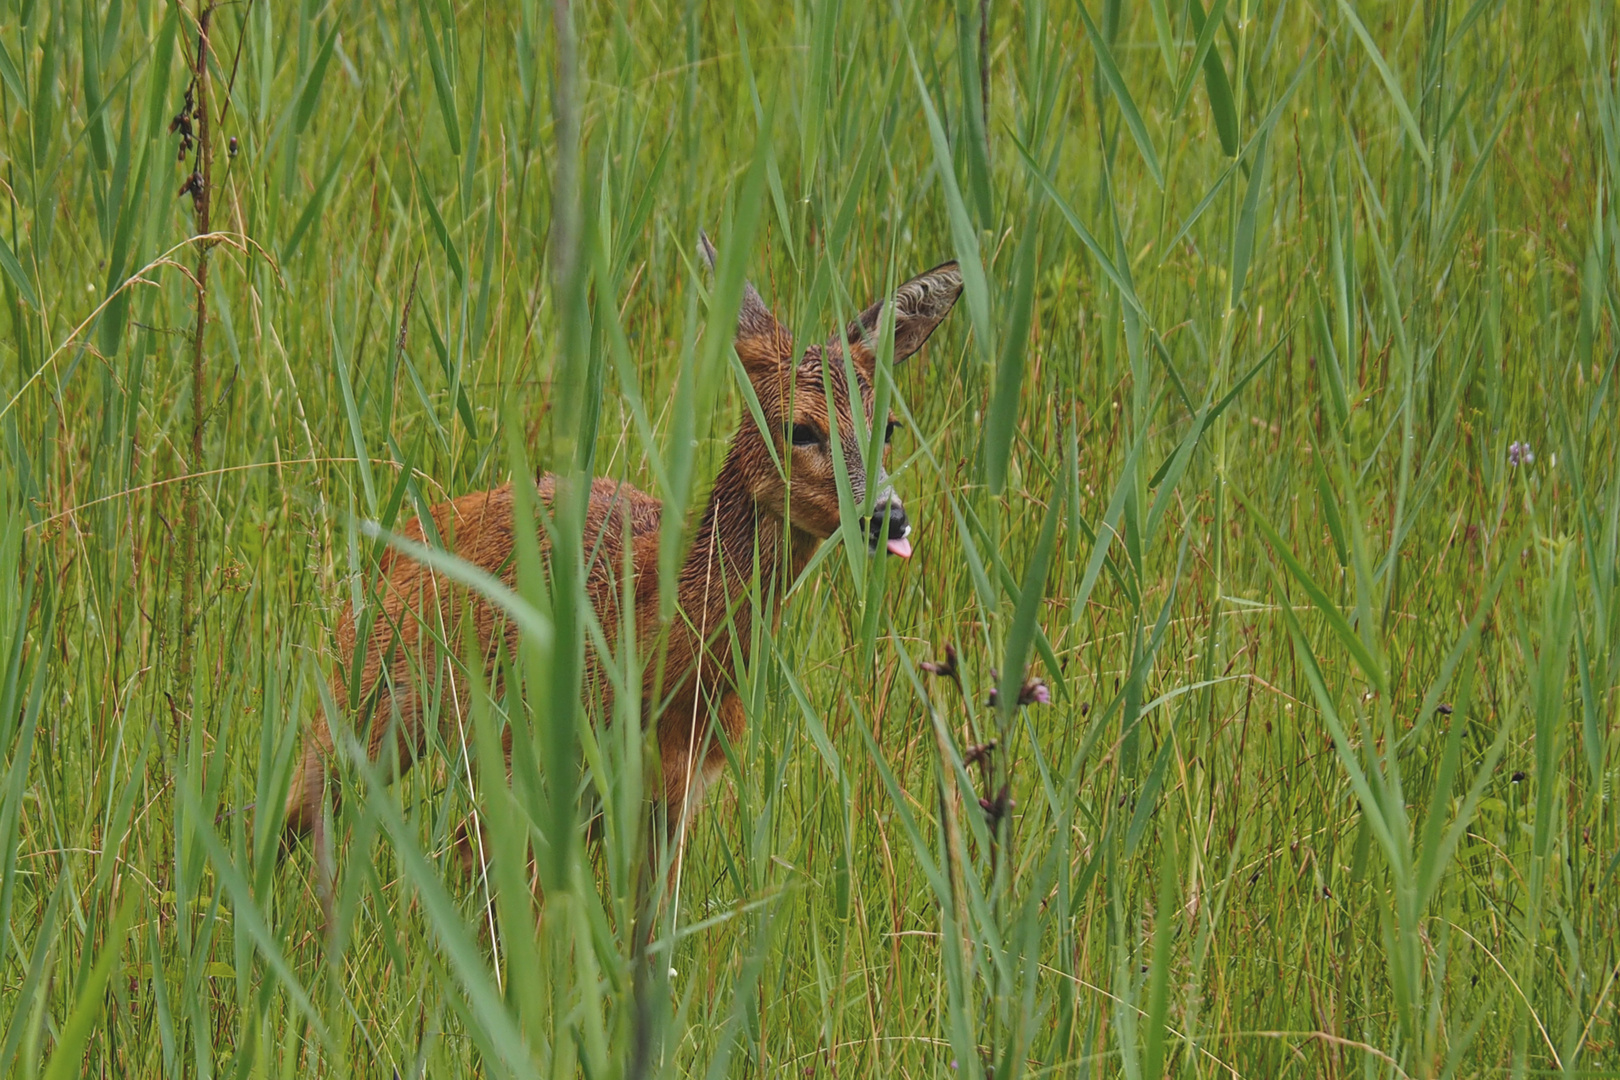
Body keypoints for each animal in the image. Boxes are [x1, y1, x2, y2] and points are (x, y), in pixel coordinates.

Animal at [283, 236, 959, 887]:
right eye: (799, 428)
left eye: (890, 426)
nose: (888, 517)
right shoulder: (535, 763)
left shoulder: (678, 794)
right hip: (366, 694)